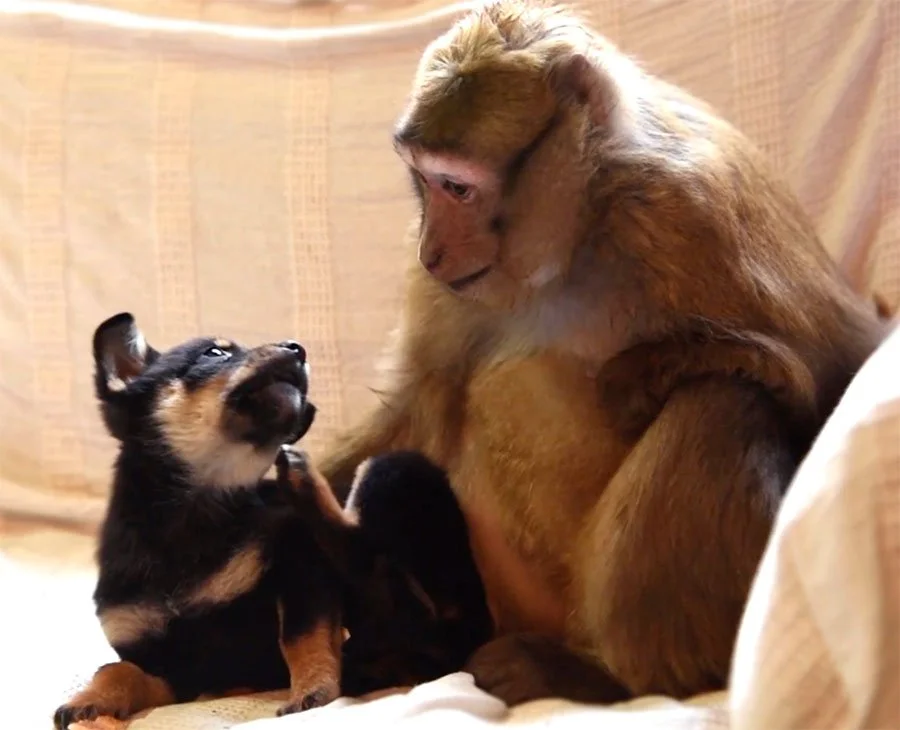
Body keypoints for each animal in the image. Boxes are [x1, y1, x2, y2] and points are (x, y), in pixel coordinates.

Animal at [316, 0, 890, 706]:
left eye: (456, 187)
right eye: (425, 183)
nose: (432, 250)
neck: (583, 227)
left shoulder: (689, 210)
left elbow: (837, 364)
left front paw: (657, 369)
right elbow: (417, 406)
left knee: (721, 402)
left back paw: (605, 676)